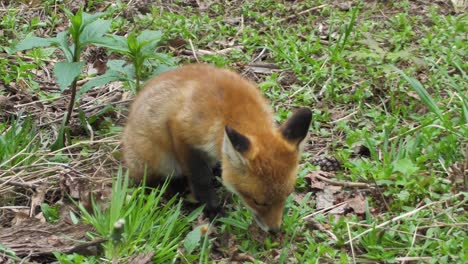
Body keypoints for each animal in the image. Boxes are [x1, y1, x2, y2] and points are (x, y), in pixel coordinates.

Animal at [121, 64, 310, 233]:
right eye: (257, 202)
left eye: (286, 196)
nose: (274, 231)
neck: (232, 111)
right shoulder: (181, 132)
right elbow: (201, 179)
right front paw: (213, 208)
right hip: (157, 158)